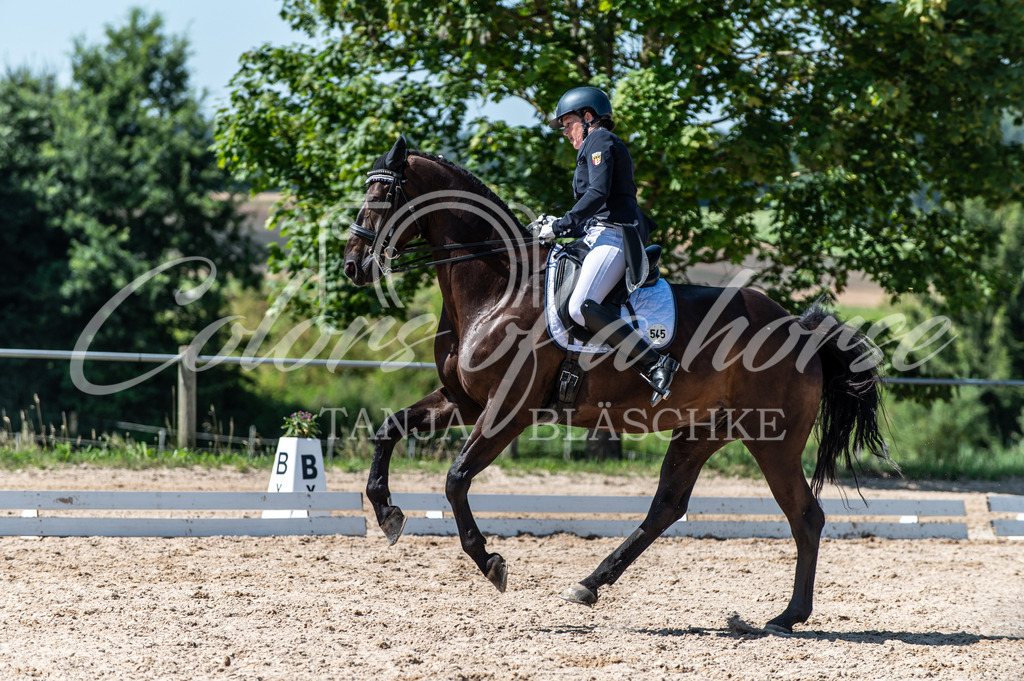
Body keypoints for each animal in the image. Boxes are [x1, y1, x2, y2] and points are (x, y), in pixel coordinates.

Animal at [342, 135, 888, 634]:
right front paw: (387, 513)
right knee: (667, 507)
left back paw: (788, 616)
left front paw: (490, 563)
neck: (497, 288)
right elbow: (388, 430)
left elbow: (456, 479)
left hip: (771, 439)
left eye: (382, 195)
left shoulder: (509, 411)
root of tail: (799, 328)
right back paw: (589, 584)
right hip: (702, 431)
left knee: (805, 516)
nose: (352, 266)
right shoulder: (465, 401)